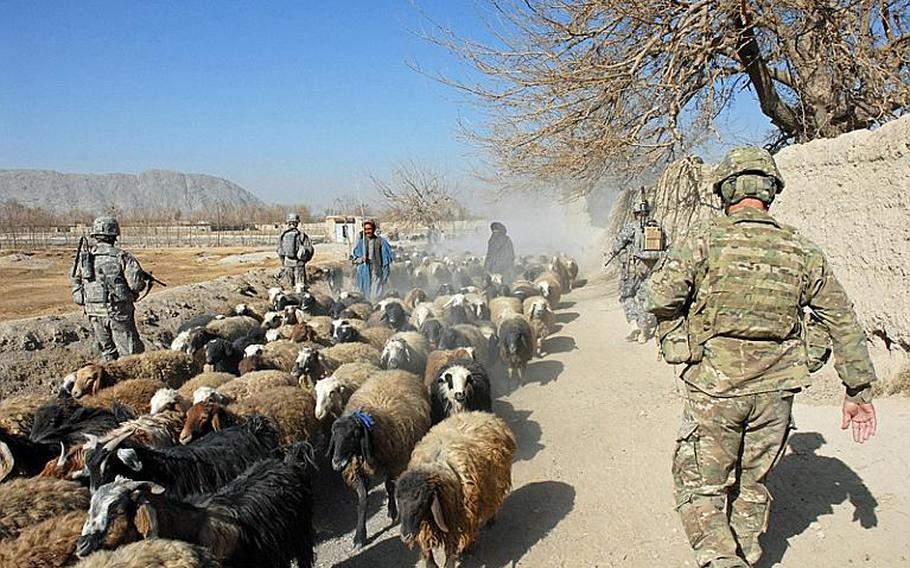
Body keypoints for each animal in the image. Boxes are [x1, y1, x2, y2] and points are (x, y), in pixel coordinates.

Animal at [330, 368, 432, 544]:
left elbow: (389, 487)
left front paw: (393, 511)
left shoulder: (393, 464)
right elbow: (363, 500)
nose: (336, 464)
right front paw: (360, 536)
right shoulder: (357, 471)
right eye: (334, 436)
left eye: (353, 435)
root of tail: (396, 370)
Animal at [398, 410, 516, 564]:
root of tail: (484, 414)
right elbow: (429, 557)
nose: (405, 536)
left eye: (422, 501)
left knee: (492, 503)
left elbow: (450, 556)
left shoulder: (455, 521)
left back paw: (489, 522)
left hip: (494, 484)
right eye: (399, 501)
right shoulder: (426, 527)